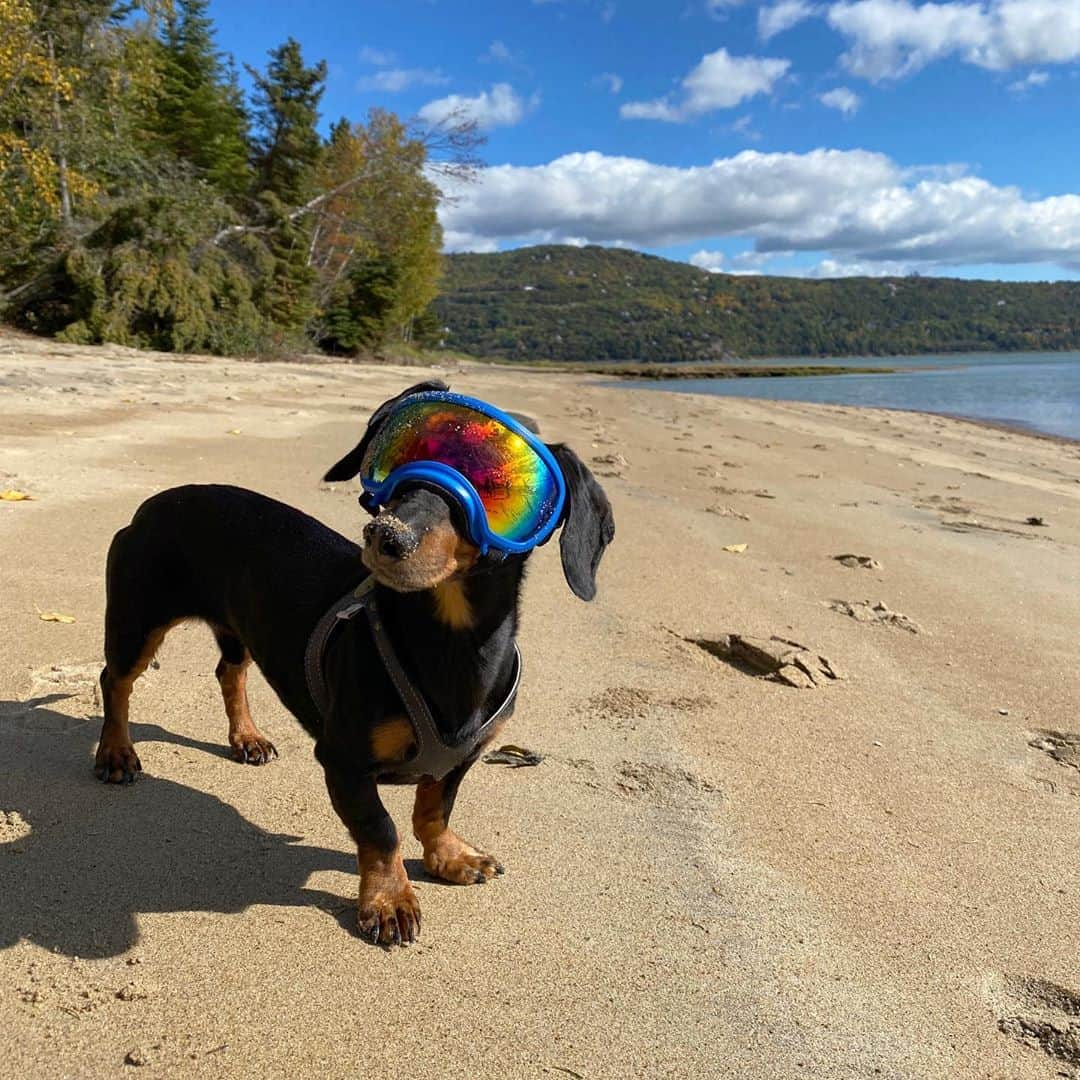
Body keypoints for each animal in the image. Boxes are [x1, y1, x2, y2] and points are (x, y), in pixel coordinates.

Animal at [93, 380, 613, 946]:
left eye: (498, 488)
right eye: (400, 458)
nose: (387, 535)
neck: (452, 644)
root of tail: (154, 502)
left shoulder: (462, 758)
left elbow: (434, 809)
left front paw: (450, 856)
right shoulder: (342, 760)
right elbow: (380, 829)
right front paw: (389, 900)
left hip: (237, 627)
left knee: (229, 671)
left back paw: (246, 737)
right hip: (138, 621)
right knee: (114, 680)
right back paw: (116, 752)